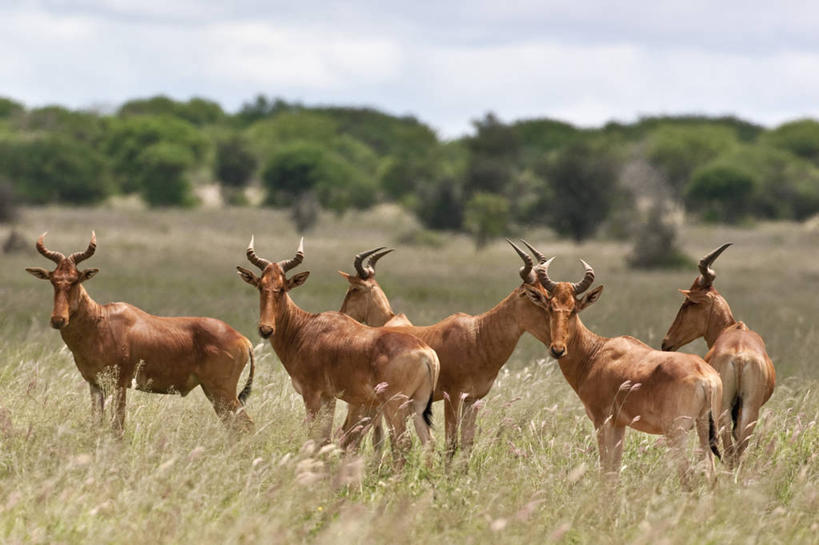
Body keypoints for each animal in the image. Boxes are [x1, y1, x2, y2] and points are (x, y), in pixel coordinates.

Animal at [26, 232, 256, 432]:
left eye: (76, 279)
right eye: (53, 279)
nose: (58, 320)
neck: (101, 321)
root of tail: (244, 340)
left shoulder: (119, 384)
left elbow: (117, 426)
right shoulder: (95, 385)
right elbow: (96, 424)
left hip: (222, 390)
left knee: (245, 425)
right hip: (213, 391)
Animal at [237, 236, 442, 456]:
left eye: (283, 288)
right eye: (260, 286)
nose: (266, 330)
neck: (305, 327)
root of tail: (427, 354)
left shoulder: (312, 395)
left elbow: (314, 436)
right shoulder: (329, 398)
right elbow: (325, 439)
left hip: (394, 405)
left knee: (403, 443)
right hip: (418, 405)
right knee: (429, 442)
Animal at [340, 241, 552, 454]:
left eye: (546, 294)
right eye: (536, 295)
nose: (555, 346)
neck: (477, 334)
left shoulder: (469, 399)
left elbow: (464, 443)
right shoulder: (453, 397)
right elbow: (450, 442)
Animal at [528, 249, 720, 478]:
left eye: (574, 309)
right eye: (550, 307)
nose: (558, 349)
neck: (597, 352)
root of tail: (705, 377)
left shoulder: (602, 420)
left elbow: (605, 468)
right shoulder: (619, 424)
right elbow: (614, 470)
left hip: (677, 432)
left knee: (688, 473)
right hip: (705, 426)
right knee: (710, 470)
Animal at [660, 244, 776, 466]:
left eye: (687, 303)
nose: (666, 343)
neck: (733, 328)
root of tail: (739, 356)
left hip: (728, 407)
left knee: (731, 448)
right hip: (745, 407)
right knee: (736, 448)